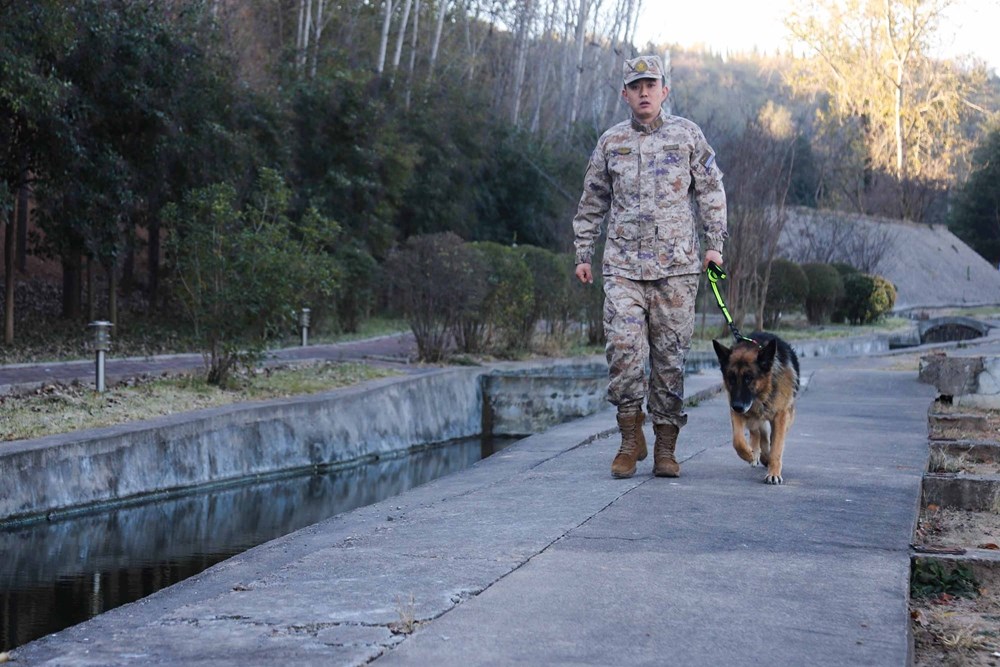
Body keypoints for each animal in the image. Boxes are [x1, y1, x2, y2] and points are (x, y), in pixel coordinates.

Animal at [712, 334, 804, 486]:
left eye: (748, 378)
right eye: (731, 378)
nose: (737, 406)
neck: (762, 394)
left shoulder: (781, 415)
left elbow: (777, 446)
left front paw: (773, 473)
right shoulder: (738, 412)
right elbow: (737, 440)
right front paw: (749, 454)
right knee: (758, 433)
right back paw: (757, 453)